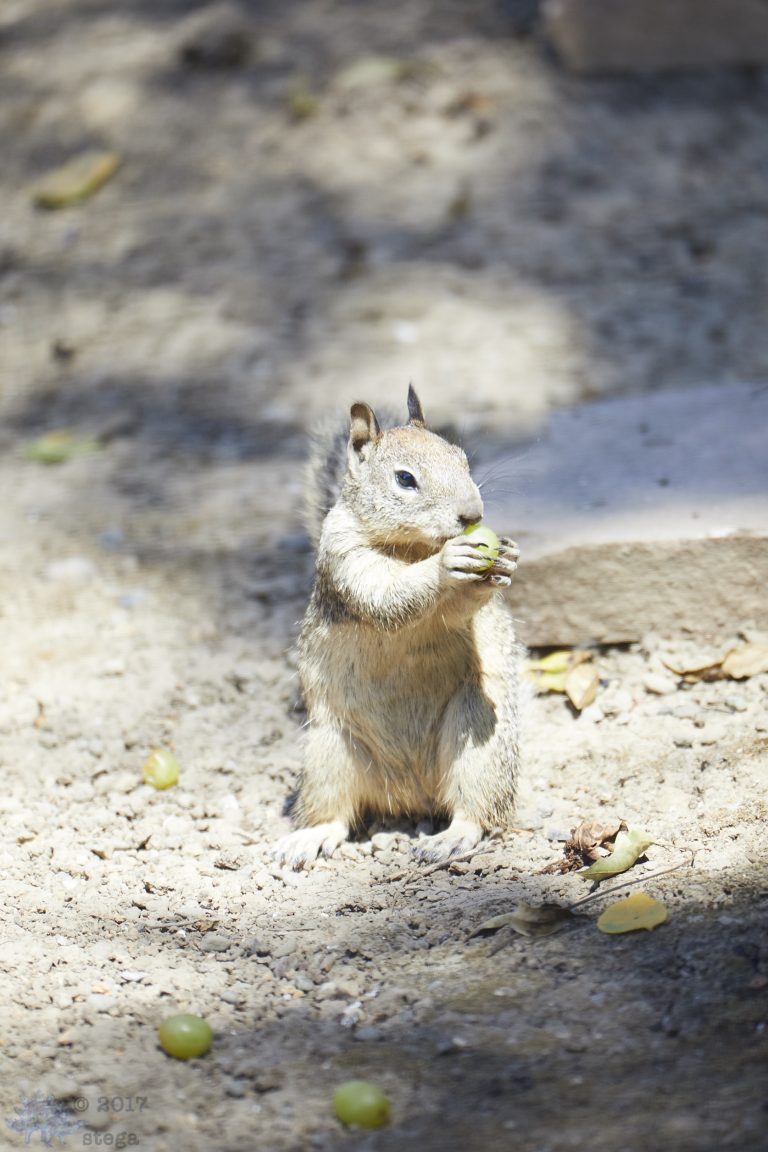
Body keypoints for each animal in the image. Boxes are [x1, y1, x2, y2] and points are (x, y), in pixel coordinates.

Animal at [273, 385, 522, 869]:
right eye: (405, 480)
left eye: (463, 459)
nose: (472, 515)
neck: (413, 547)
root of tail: (412, 793)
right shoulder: (344, 559)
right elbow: (386, 595)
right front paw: (446, 565)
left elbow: (460, 611)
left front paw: (504, 561)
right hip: (330, 751)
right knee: (335, 812)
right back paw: (308, 837)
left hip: (478, 736)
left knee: (476, 809)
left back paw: (451, 836)